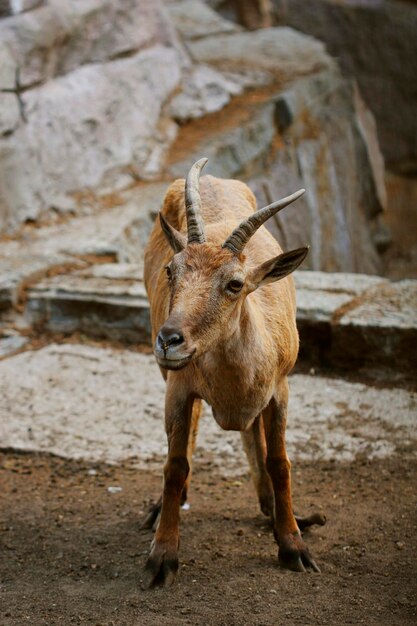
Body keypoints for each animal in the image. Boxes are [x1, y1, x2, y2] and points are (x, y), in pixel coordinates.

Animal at [142, 158, 324, 588]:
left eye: (235, 284)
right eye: (171, 270)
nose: (169, 340)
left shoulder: (279, 389)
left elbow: (280, 462)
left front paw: (294, 545)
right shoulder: (179, 388)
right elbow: (174, 466)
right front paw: (162, 558)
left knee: (253, 434)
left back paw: (273, 508)